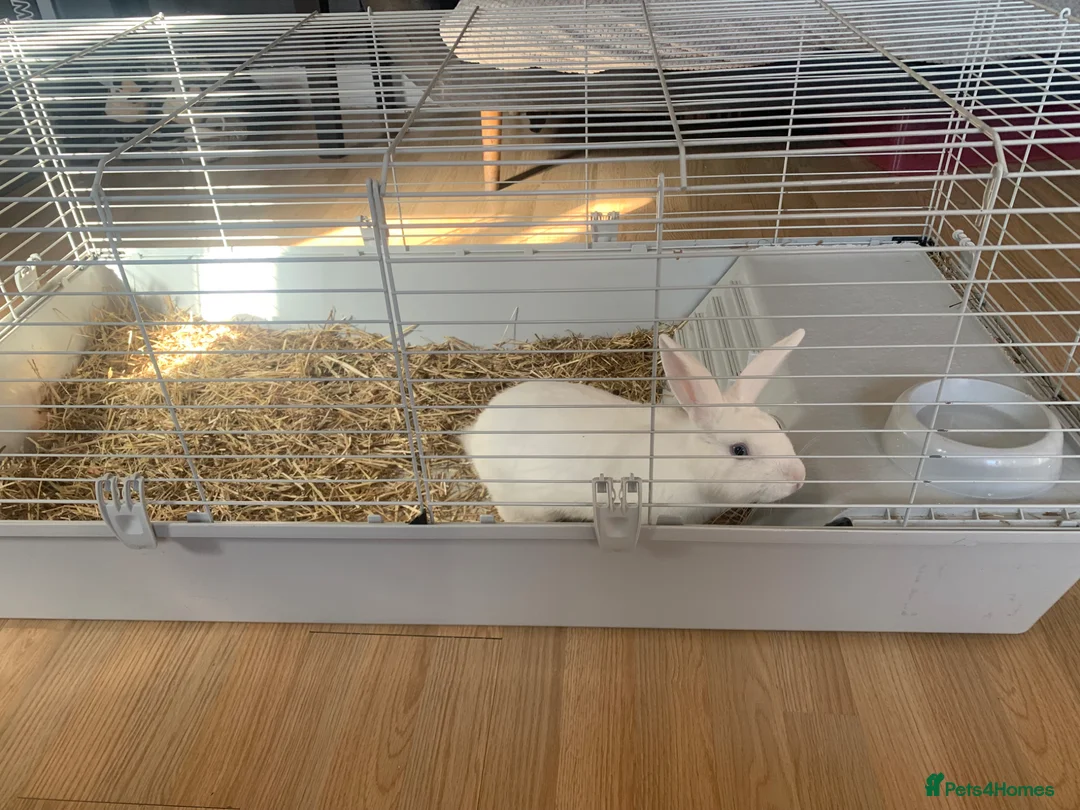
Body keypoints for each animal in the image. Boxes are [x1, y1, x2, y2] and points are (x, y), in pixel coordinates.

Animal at [462, 329, 807, 524]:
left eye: (776, 424)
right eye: (739, 449)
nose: (799, 478)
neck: (687, 460)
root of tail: (477, 430)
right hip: (520, 502)